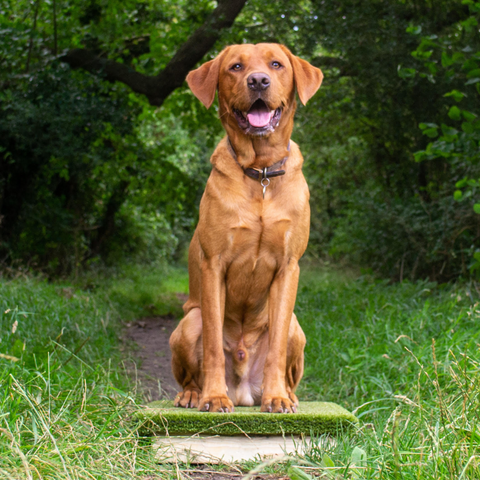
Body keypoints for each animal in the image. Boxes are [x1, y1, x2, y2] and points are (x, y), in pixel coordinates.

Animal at [169, 44, 322, 412]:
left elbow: (276, 347)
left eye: (276, 64)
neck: (261, 172)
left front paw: (277, 397)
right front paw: (213, 396)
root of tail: (243, 389)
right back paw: (194, 394)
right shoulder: (213, 265)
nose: (258, 81)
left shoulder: (288, 268)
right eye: (236, 67)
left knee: (288, 358)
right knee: (191, 370)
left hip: (297, 327)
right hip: (188, 322)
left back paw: (287, 394)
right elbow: (212, 343)